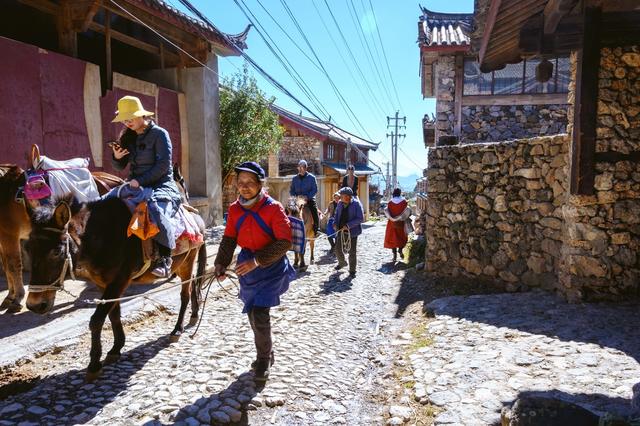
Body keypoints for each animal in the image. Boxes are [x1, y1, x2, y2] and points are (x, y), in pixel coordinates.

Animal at [23, 191, 205, 382]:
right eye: (27, 249)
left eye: (56, 252)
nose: (34, 305)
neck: (103, 237)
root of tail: (197, 217)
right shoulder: (104, 284)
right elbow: (113, 314)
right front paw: (116, 349)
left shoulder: (119, 280)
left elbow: (96, 320)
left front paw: (94, 364)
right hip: (182, 265)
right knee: (194, 282)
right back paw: (194, 314)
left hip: (187, 261)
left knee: (185, 293)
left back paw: (177, 329)